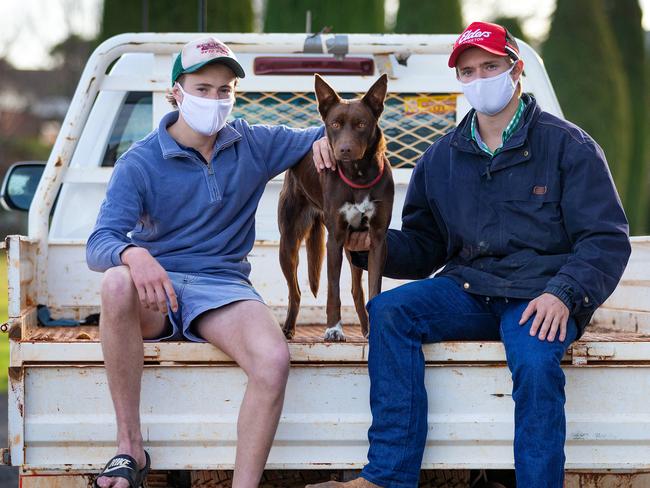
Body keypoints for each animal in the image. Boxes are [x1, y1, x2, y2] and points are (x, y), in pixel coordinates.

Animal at [278, 74, 392, 342]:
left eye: (361, 124)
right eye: (335, 124)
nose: (344, 150)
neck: (359, 175)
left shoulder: (377, 239)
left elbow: (373, 288)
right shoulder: (336, 239)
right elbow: (333, 290)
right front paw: (333, 329)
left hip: (355, 248)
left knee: (356, 291)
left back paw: (366, 328)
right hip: (288, 242)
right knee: (295, 291)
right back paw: (288, 329)